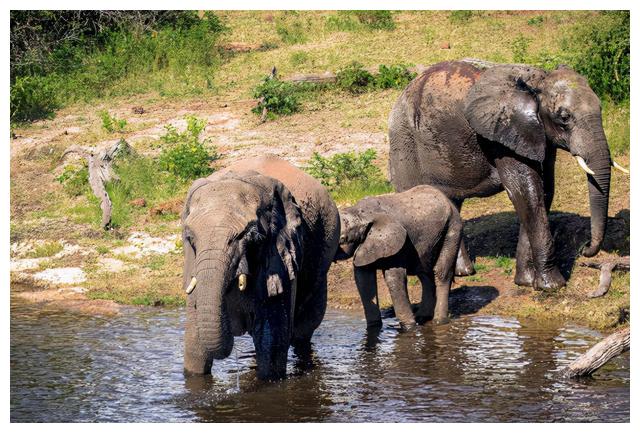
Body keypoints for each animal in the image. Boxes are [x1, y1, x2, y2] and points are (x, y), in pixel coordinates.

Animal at [180, 155, 340, 378]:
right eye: (190, 237)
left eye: (251, 236)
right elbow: (195, 347)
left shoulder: (280, 254)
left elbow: (272, 342)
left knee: (304, 328)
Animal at [332, 185, 462, 328]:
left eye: (342, 239)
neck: (360, 213)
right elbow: (363, 280)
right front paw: (374, 328)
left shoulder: (397, 244)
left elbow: (393, 278)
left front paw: (409, 328)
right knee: (424, 274)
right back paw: (423, 317)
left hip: (452, 229)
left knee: (440, 273)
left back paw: (439, 321)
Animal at [388, 60, 628, 290]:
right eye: (564, 117)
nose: (585, 249)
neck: (537, 82)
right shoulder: (500, 138)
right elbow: (526, 192)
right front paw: (552, 286)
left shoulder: (536, 135)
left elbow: (544, 192)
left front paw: (527, 282)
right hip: (404, 145)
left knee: (451, 205)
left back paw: (464, 272)